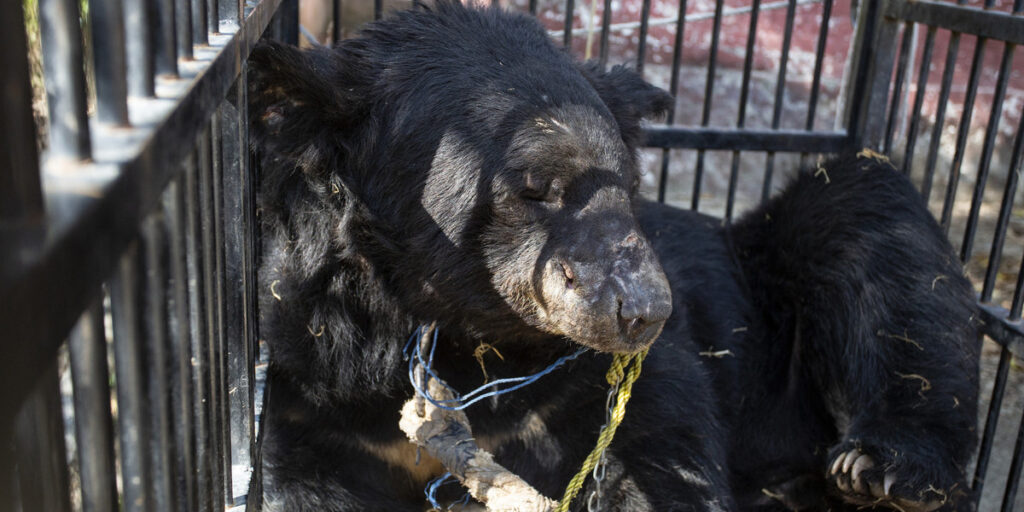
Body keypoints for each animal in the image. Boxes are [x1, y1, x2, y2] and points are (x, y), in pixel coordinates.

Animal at [247, 2, 980, 511]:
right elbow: (308, 480)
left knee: (879, 241)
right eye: (533, 189)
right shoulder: (309, 381)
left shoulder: (599, 378)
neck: (460, 333)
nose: (643, 310)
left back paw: (885, 466)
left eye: (627, 181)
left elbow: (655, 446)